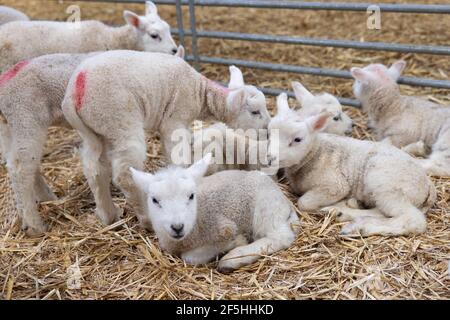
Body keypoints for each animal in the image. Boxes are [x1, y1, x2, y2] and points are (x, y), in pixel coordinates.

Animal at [0, 45, 185, 235]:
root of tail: (6, 78)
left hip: (9, 126)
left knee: (18, 163)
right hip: (26, 117)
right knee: (21, 169)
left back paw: (44, 201)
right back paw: (35, 225)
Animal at [61, 50, 268, 230]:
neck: (201, 92)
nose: (267, 131)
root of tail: (77, 88)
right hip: (119, 119)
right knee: (124, 175)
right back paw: (147, 219)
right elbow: (178, 155)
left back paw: (108, 215)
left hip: (96, 131)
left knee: (94, 170)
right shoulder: (175, 119)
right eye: (254, 112)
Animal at [129, 153, 298, 272]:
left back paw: (232, 259)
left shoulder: (224, 228)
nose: (177, 227)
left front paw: (237, 242)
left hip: (266, 208)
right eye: (155, 200)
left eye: (191, 196)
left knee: (280, 237)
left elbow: (189, 257)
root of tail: (285, 202)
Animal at [268, 91, 436, 236]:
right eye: (270, 133)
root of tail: (427, 184)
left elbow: (303, 202)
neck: (316, 153)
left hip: (386, 183)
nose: (270, 157)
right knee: (380, 211)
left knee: (413, 220)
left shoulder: (335, 186)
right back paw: (345, 212)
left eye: (297, 139)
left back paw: (360, 226)